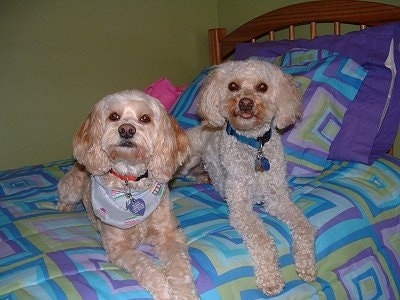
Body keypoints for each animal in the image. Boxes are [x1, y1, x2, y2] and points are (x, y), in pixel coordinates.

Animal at [57, 89, 198, 300]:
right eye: (114, 116)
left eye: (145, 118)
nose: (126, 130)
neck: (131, 181)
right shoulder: (119, 248)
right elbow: (146, 265)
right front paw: (164, 290)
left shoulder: (170, 235)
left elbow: (180, 268)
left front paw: (183, 293)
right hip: (71, 188)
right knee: (63, 193)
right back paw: (64, 207)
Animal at [180, 60, 316, 296]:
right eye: (232, 86)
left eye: (262, 87)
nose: (245, 103)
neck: (254, 145)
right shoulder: (241, 208)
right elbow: (262, 239)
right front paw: (270, 278)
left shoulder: (278, 200)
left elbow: (304, 227)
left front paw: (307, 266)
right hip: (189, 157)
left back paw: (204, 177)